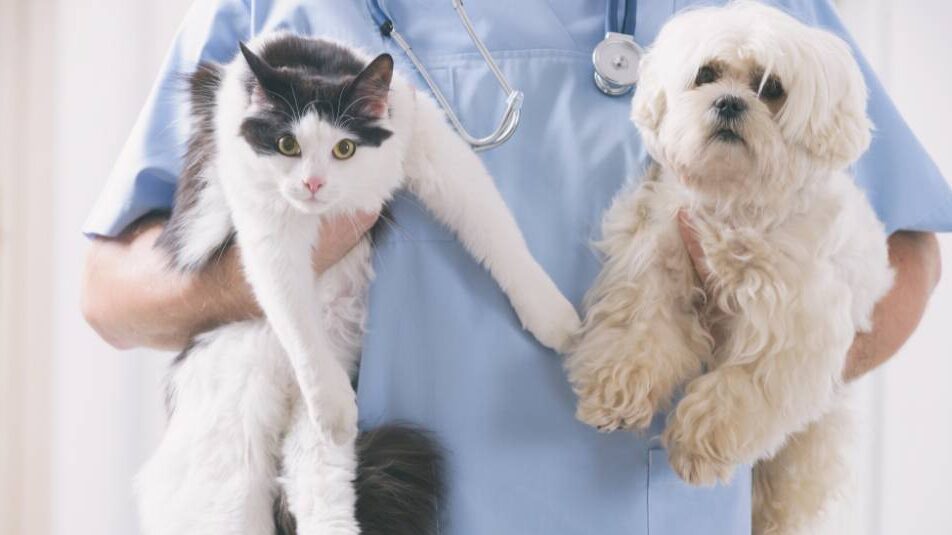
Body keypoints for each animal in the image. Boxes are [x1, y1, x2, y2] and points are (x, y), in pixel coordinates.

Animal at [134, 33, 580, 535]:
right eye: (287, 144)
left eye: (344, 149)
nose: (312, 183)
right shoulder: (268, 229)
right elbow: (295, 318)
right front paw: (331, 402)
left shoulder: (427, 143)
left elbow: (496, 230)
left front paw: (552, 318)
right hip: (226, 464)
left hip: (306, 444)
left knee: (320, 495)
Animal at [564, 2, 892, 532]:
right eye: (707, 75)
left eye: (771, 88)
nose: (730, 103)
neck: (734, 205)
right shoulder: (657, 261)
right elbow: (638, 335)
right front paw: (615, 392)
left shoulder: (790, 329)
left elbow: (739, 390)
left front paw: (698, 446)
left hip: (808, 449)